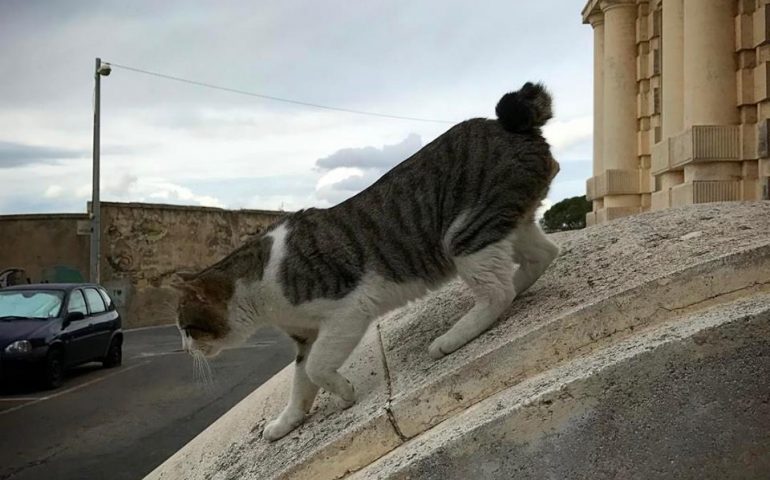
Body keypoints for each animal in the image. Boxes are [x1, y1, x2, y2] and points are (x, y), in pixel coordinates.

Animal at [172, 81, 560, 438]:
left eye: (186, 328)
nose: (183, 349)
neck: (263, 288)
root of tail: (510, 123)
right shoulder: (305, 337)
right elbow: (300, 384)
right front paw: (287, 422)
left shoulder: (348, 311)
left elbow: (315, 369)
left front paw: (345, 393)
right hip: (504, 227)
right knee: (542, 256)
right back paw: (519, 286)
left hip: (464, 234)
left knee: (497, 293)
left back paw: (452, 338)